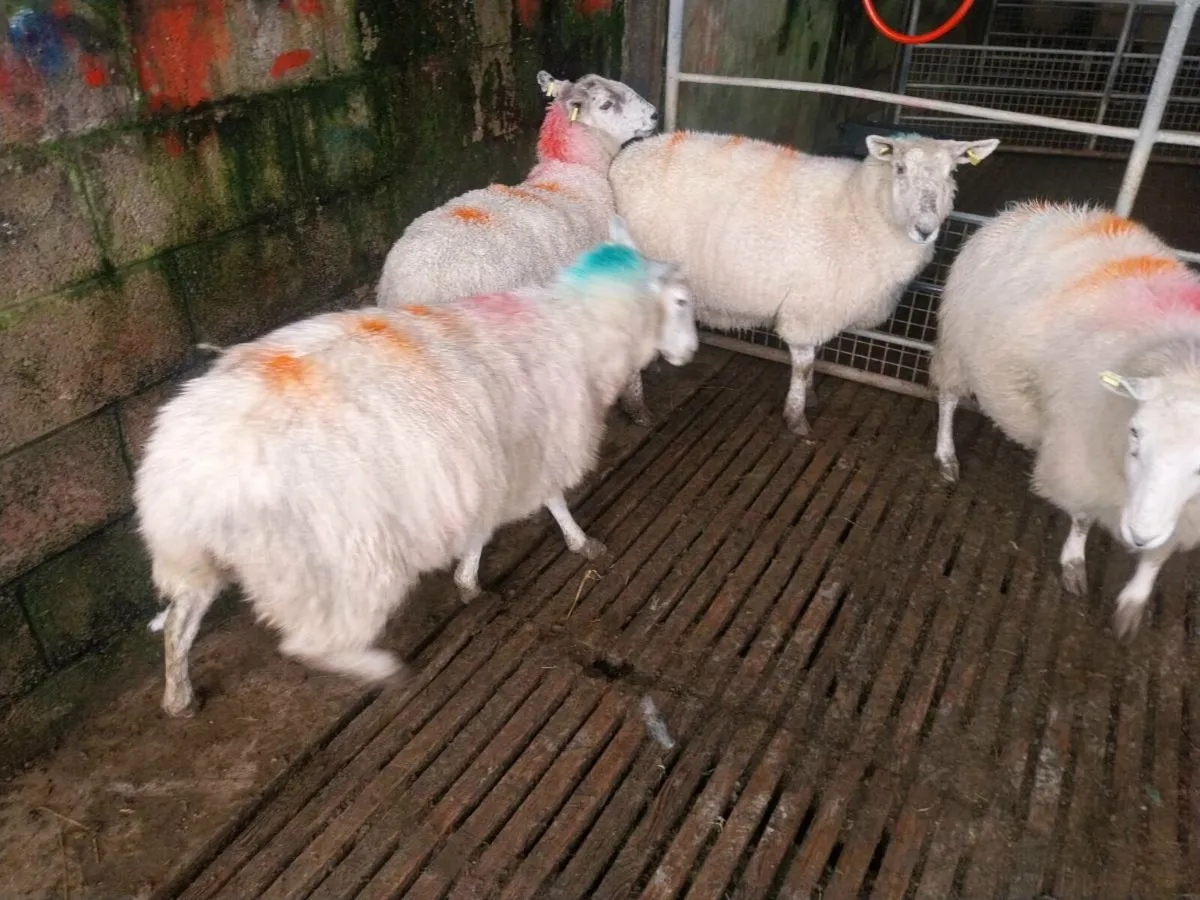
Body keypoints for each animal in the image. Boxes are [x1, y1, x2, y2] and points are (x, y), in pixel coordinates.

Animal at [135, 217, 698, 717]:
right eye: (682, 302)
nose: (691, 352)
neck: (580, 327)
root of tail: (184, 467)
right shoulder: (531, 449)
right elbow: (551, 501)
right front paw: (577, 543)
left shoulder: (485, 467)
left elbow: (488, 524)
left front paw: (469, 579)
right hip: (338, 558)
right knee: (309, 642)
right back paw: (378, 668)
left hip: (193, 556)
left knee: (181, 621)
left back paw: (179, 698)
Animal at [608, 130, 1000, 435]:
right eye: (900, 168)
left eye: (952, 172)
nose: (925, 229)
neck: (861, 212)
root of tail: (624, 160)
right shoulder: (807, 308)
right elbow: (804, 363)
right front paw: (797, 418)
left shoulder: (823, 304)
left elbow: (816, 356)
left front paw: (809, 397)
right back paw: (637, 408)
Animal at [932, 200, 1200, 638]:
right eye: (1135, 432)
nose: (1138, 533)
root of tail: (1027, 209)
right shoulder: (1081, 455)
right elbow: (1082, 516)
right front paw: (1074, 562)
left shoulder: (1186, 513)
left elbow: (1158, 555)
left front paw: (1133, 601)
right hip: (956, 344)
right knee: (948, 398)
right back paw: (946, 455)